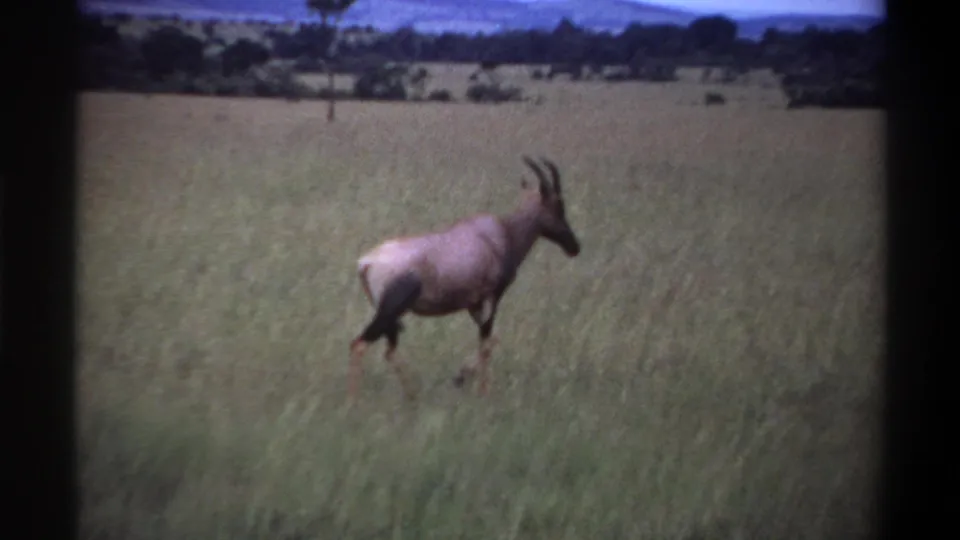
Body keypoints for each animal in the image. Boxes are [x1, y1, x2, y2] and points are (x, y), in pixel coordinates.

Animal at [348, 156, 582, 401]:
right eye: (558, 205)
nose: (574, 247)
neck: (500, 234)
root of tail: (366, 263)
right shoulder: (492, 296)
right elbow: (487, 343)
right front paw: (481, 390)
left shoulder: (474, 304)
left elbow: (491, 339)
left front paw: (460, 378)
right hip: (390, 311)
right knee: (360, 345)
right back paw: (355, 401)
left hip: (391, 316)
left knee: (388, 351)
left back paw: (412, 396)